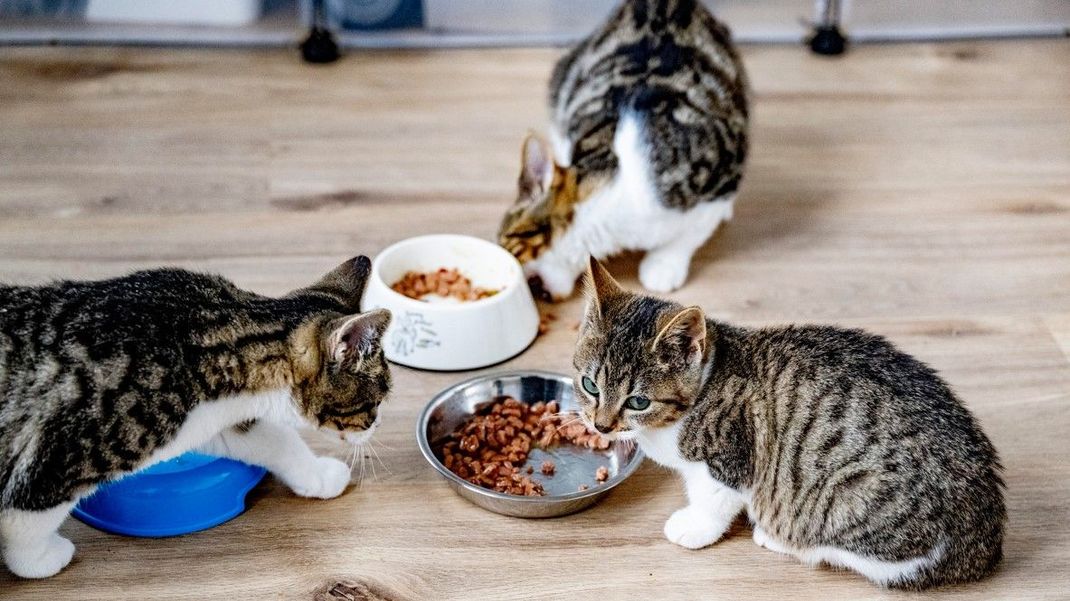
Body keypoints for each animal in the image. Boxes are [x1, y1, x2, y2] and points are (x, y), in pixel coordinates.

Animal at [0, 256, 393, 577]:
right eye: (376, 401)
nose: (374, 427)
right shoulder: (60, 457)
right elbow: (27, 515)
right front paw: (37, 560)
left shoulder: (209, 419)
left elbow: (273, 439)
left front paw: (319, 475)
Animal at [577, 257, 1001, 586]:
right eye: (589, 385)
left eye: (638, 401)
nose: (601, 426)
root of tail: (984, 540)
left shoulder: (730, 457)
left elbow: (715, 499)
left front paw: (695, 526)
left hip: (847, 501)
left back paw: (777, 537)